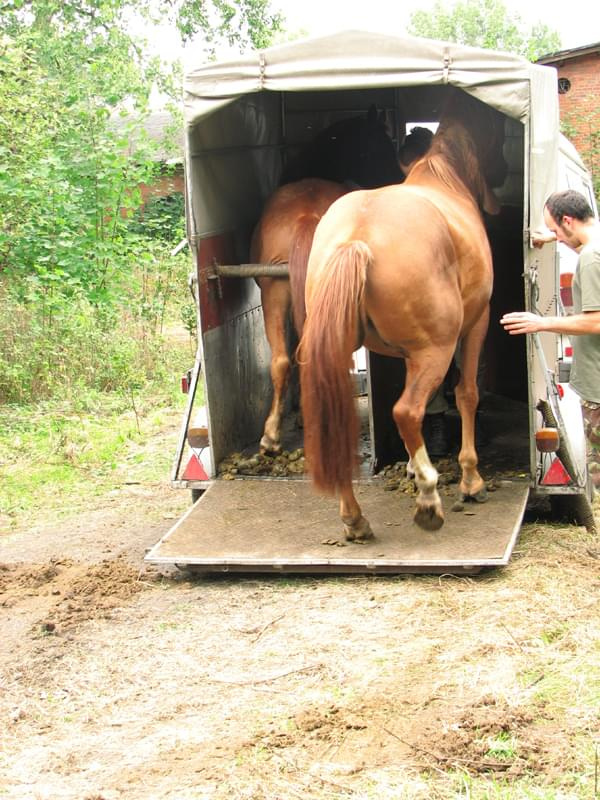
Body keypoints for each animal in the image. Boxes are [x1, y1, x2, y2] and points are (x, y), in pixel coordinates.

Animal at [251, 108, 406, 454]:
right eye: (381, 144)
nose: (397, 182)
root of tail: (305, 215)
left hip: (278, 293)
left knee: (288, 358)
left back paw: (275, 434)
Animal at [298, 87, 508, 536]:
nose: (502, 172)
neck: (445, 178)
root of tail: (356, 237)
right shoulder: (474, 326)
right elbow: (466, 393)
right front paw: (470, 480)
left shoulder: (407, 354)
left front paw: (413, 465)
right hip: (438, 349)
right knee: (407, 411)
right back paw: (429, 499)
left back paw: (355, 517)